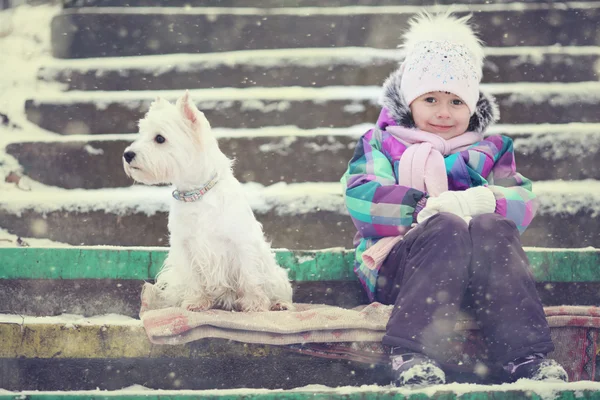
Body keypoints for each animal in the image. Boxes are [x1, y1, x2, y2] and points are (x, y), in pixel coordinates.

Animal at [123, 91, 296, 312]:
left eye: (160, 138)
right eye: (141, 134)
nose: (127, 154)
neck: (197, 194)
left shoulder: (241, 243)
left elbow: (250, 276)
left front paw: (255, 305)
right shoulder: (185, 246)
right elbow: (193, 279)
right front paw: (195, 302)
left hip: (275, 274)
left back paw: (280, 304)